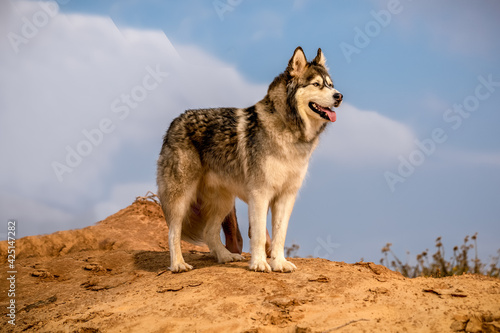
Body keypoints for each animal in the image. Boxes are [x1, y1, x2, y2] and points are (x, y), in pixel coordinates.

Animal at [158, 46, 342, 270]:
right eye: (316, 84)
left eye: (330, 85)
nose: (339, 96)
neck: (289, 131)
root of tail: (175, 121)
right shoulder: (260, 194)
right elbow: (260, 235)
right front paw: (260, 264)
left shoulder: (286, 197)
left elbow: (279, 234)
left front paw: (279, 263)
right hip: (181, 198)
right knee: (173, 231)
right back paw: (178, 265)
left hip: (224, 202)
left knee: (209, 232)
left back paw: (226, 257)